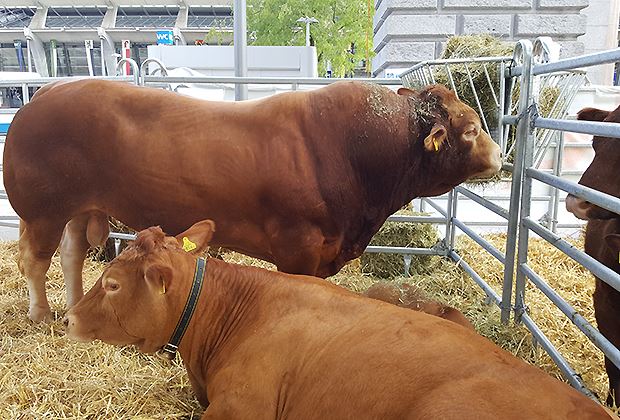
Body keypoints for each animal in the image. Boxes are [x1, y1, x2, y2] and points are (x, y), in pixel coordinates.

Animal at [4, 79, 501, 322]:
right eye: (472, 128)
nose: (499, 154)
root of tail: (47, 91)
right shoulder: (299, 247)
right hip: (42, 211)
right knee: (35, 262)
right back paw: (40, 313)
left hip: (78, 209)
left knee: (70, 255)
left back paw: (72, 307)